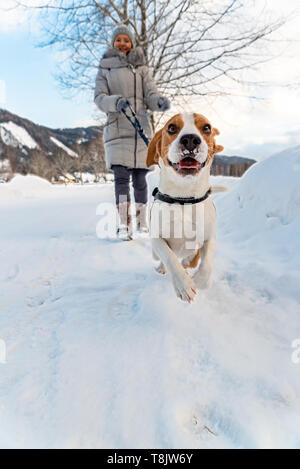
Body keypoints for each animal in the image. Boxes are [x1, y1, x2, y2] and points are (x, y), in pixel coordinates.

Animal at [146, 113, 224, 304]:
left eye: (206, 128)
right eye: (171, 128)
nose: (190, 140)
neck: (184, 198)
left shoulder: (209, 236)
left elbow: (207, 265)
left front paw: (199, 280)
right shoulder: (157, 237)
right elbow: (169, 257)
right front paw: (184, 285)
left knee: (190, 260)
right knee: (161, 258)